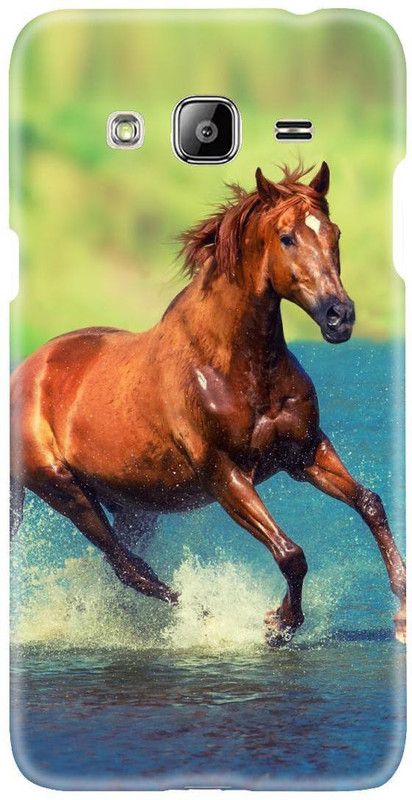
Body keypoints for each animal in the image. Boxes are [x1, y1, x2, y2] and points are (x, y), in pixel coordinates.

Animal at [10, 162, 406, 645]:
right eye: (287, 237)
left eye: (334, 232)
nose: (339, 317)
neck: (236, 366)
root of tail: (22, 375)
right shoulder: (224, 474)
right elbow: (290, 552)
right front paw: (278, 624)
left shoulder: (305, 452)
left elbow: (370, 503)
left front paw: (402, 614)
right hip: (64, 490)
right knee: (128, 567)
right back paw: (203, 616)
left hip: (133, 504)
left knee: (124, 565)